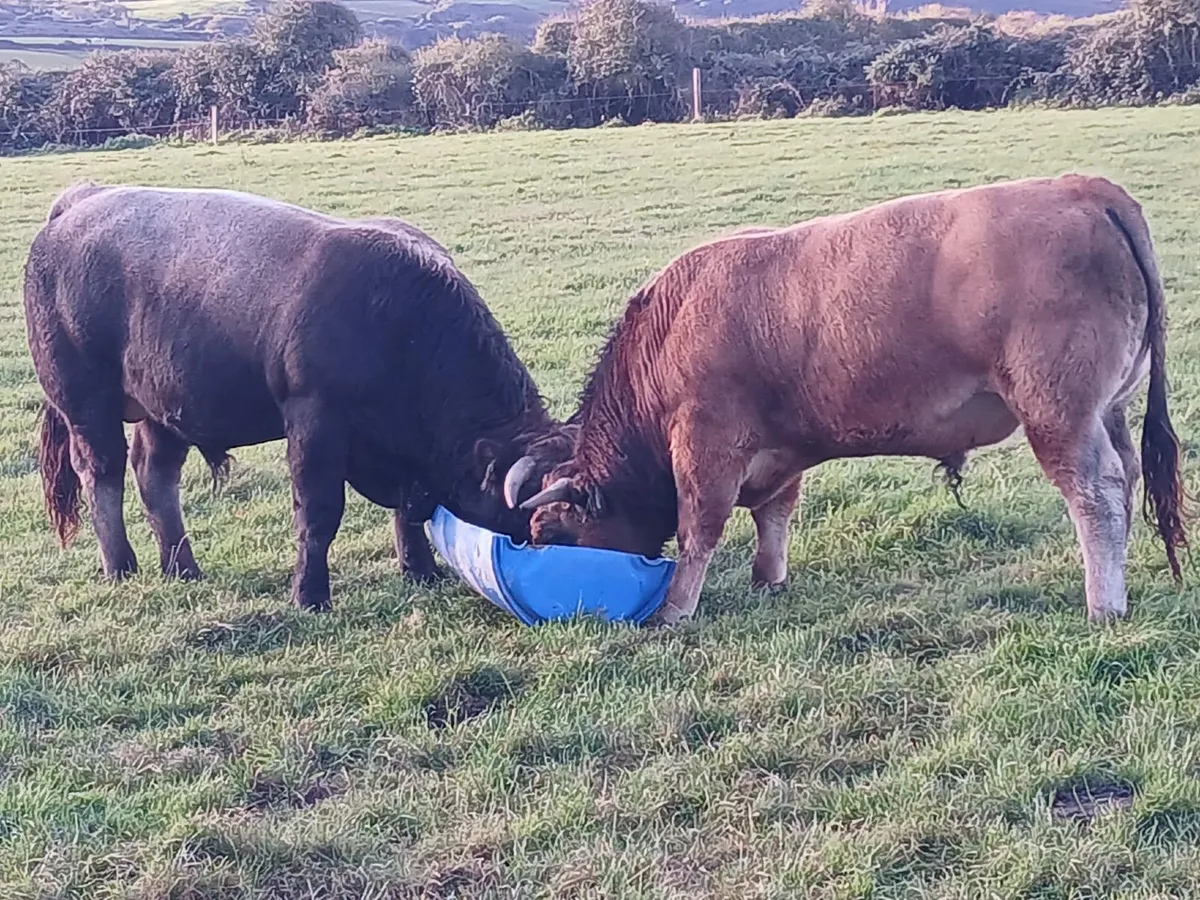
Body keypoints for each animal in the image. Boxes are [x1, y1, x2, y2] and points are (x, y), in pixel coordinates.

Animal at [24, 181, 570, 611]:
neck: (400, 321)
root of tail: (82, 200)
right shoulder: (315, 420)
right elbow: (319, 512)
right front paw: (310, 595)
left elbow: (406, 514)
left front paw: (421, 571)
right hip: (85, 403)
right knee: (101, 474)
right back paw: (121, 564)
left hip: (162, 407)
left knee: (154, 477)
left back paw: (182, 567)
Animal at [514, 174, 1190, 626]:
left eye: (549, 531)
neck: (668, 325)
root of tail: (1087, 189)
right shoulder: (774, 448)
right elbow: (774, 515)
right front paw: (768, 580)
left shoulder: (707, 445)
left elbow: (698, 529)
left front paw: (675, 609)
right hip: (1109, 410)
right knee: (1128, 474)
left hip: (1059, 414)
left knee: (1095, 492)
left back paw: (1104, 603)